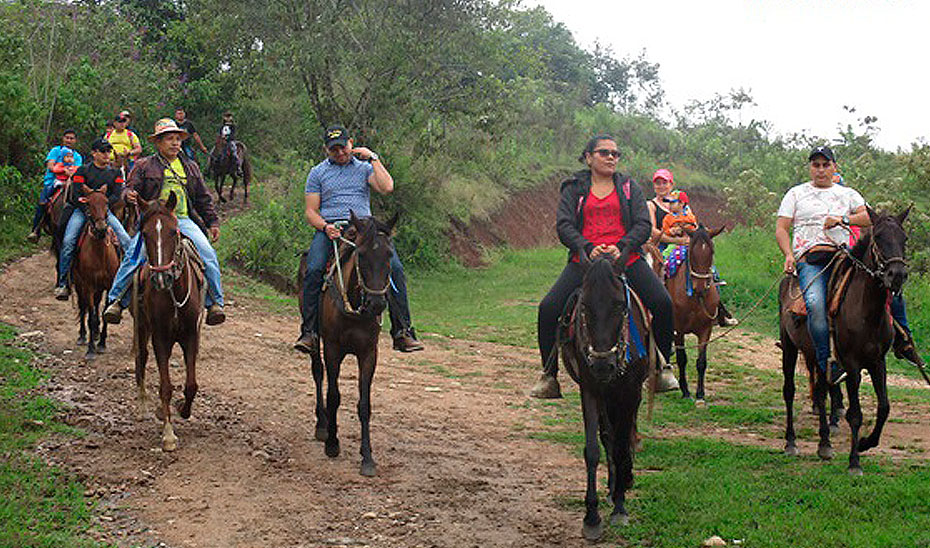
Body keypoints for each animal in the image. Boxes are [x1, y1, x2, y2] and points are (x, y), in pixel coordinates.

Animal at [71, 186, 120, 360]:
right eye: (88, 204)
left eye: (106, 202)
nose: (101, 229)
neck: (99, 254)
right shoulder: (88, 286)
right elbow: (91, 315)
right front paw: (91, 349)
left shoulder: (110, 285)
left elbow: (104, 312)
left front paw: (102, 343)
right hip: (80, 284)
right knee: (83, 306)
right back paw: (82, 335)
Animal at [129, 191, 203, 452]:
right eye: (145, 234)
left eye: (173, 232)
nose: (162, 277)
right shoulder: (160, 337)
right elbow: (165, 386)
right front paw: (168, 434)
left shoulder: (191, 335)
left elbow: (191, 385)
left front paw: (183, 409)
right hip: (142, 327)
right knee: (141, 359)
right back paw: (142, 405)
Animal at [298, 210, 396, 476]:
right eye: (360, 254)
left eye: (389, 255)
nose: (377, 304)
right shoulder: (333, 350)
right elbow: (334, 396)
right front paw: (333, 443)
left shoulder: (369, 353)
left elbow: (364, 405)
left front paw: (368, 458)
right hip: (315, 339)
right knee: (317, 372)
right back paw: (322, 425)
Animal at [560, 254, 652, 544]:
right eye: (585, 306)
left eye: (620, 305)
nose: (603, 365)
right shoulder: (590, 389)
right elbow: (593, 449)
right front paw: (591, 517)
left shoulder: (630, 391)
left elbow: (622, 447)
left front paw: (620, 508)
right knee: (608, 435)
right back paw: (612, 486)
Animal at [780, 208, 908, 474]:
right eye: (878, 237)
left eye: (905, 239)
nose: (898, 275)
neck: (866, 310)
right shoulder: (852, 365)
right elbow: (855, 414)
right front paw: (854, 461)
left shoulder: (877, 362)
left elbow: (884, 407)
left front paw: (866, 443)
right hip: (788, 346)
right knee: (789, 391)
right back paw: (791, 442)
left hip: (818, 357)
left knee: (820, 395)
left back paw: (824, 444)